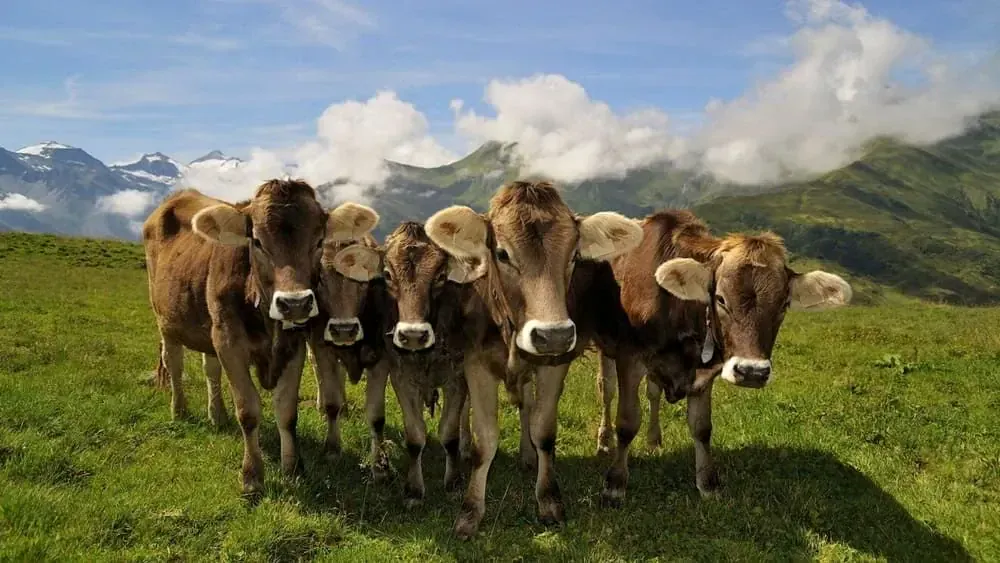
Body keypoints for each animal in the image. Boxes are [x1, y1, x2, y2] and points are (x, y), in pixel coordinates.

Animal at [141, 181, 373, 496]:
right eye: (258, 241)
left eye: (318, 241)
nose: (294, 303)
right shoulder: (229, 343)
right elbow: (248, 411)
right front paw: (252, 476)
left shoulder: (292, 346)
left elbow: (286, 411)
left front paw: (293, 467)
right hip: (165, 320)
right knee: (174, 365)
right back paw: (179, 410)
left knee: (210, 370)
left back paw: (217, 415)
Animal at [424, 180, 644, 539]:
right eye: (502, 254)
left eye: (574, 255)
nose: (552, 335)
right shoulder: (475, 362)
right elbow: (486, 439)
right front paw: (470, 511)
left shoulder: (556, 362)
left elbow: (544, 430)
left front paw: (548, 500)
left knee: (605, 388)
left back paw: (598, 442)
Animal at [593, 209, 852, 504]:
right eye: (720, 299)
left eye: (783, 304)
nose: (752, 372)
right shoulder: (629, 357)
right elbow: (627, 422)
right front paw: (615, 483)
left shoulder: (706, 371)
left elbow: (702, 427)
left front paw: (708, 482)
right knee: (606, 390)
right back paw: (604, 440)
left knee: (654, 393)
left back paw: (654, 440)